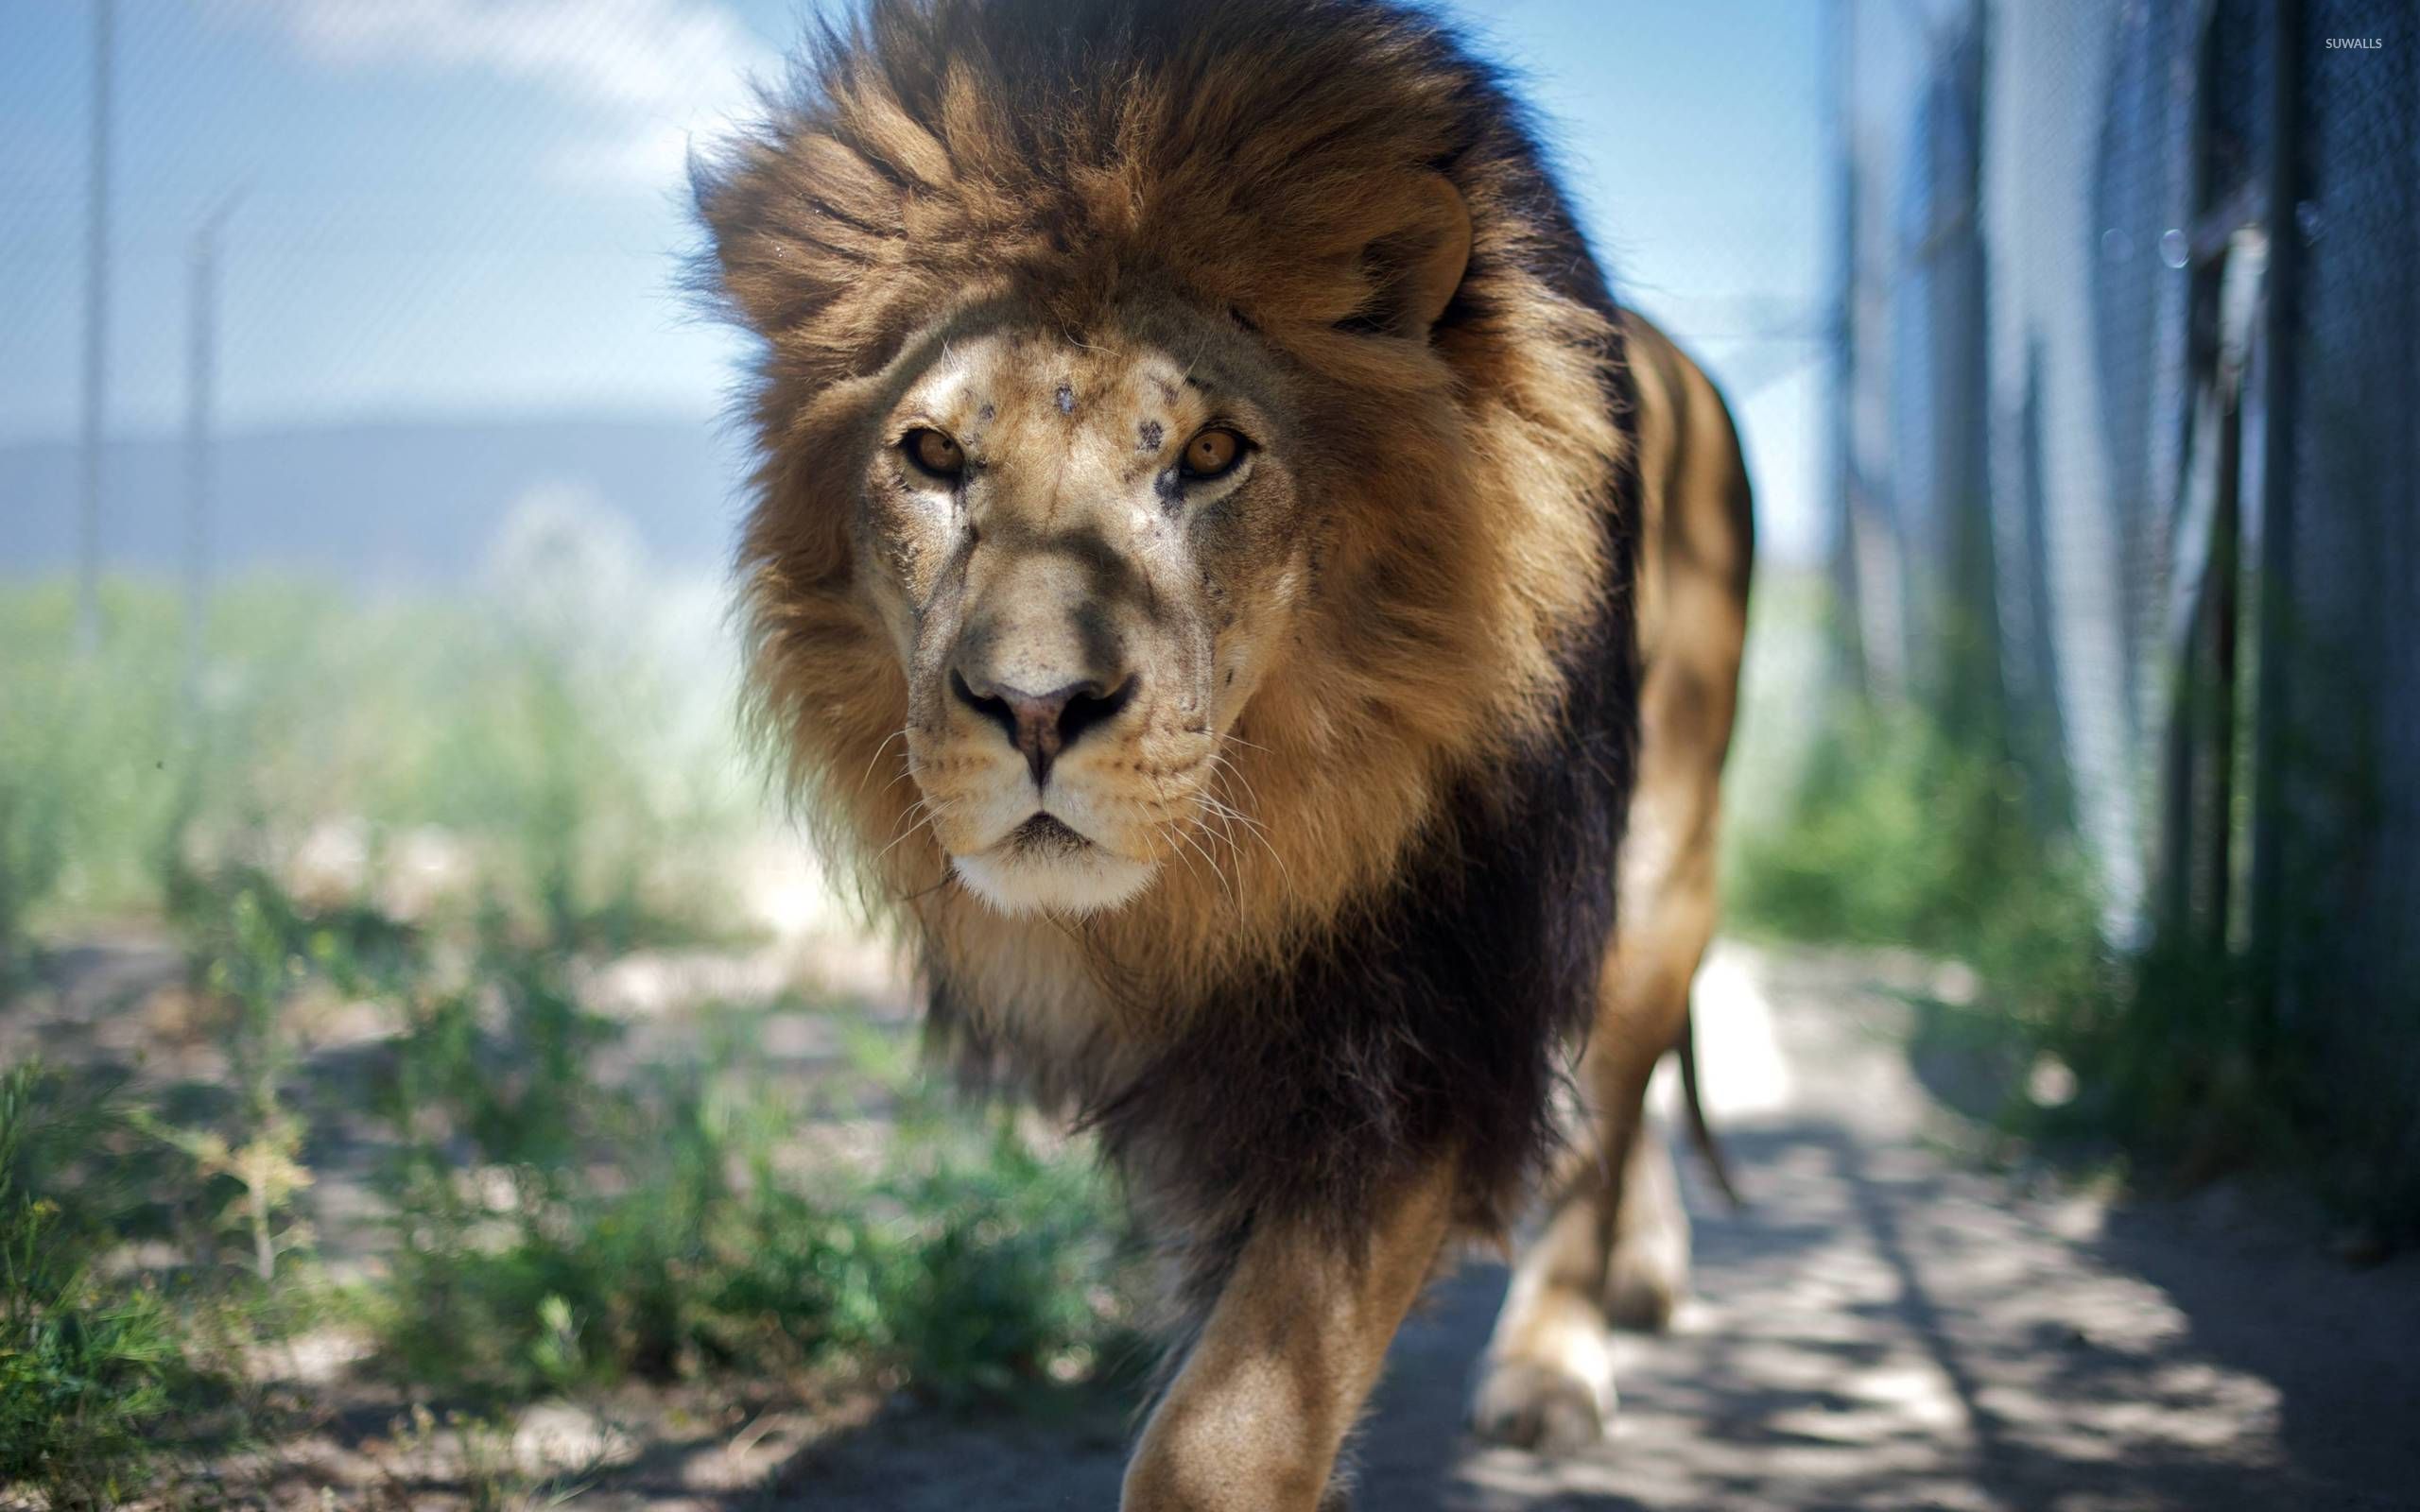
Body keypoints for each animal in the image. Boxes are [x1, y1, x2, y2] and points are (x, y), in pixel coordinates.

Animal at [695, 1, 1754, 1505]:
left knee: (1606, 1099)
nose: (1032, 708)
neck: (1236, 869)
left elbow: (1226, 1430)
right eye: (933, 455)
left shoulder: (1425, 1014)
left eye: (1209, 454)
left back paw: (1556, 1360)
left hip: (1664, 845)